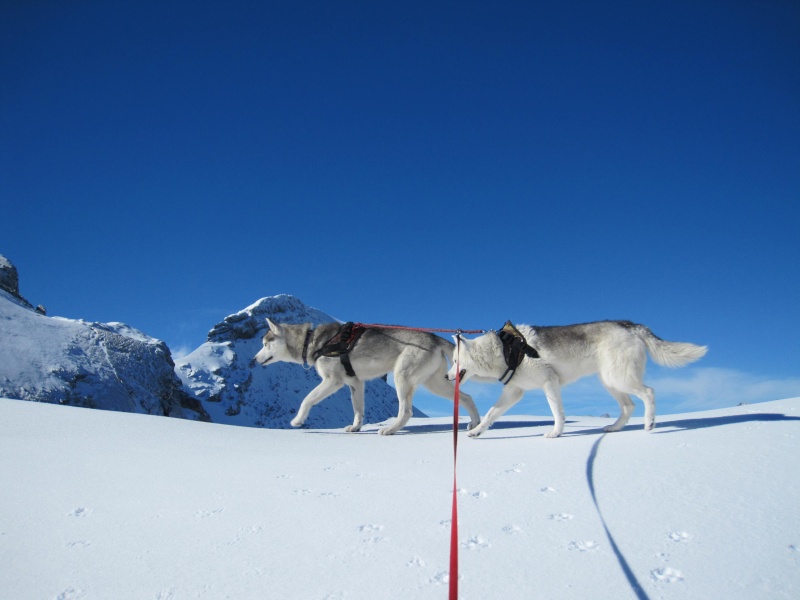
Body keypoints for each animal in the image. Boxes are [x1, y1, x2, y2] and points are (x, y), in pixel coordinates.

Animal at [253, 318, 478, 436]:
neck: (312, 342)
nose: (254, 359)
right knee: (466, 397)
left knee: (405, 411)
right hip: (435, 383)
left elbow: (306, 400)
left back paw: (390, 429)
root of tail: (434, 336)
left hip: (402, 378)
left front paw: (297, 420)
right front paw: (356, 427)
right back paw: (475, 422)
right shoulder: (355, 383)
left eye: (264, 344)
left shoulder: (332, 381)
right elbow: (358, 410)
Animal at [446, 322, 708, 438]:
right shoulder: (513, 392)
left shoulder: (549, 382)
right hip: (610, 381)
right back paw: (614, 427)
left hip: (619, 379)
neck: (502, 350)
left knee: (649, 393)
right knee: (629, 406)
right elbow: (491, 414)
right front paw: (477, 430)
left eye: (455, 360)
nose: (446, 376)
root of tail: (629, 325)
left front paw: (556, 432)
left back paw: (649, 424)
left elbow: (557, 412)